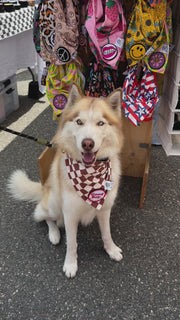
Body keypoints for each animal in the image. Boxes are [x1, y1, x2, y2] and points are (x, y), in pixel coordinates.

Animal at [8, 84, 124, 278]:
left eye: (101, 123)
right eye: (79, 122)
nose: (87, 143)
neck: (90, 173)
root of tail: (44, 189)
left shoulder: (104, 208)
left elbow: (106, 233)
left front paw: (111, 250)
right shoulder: (70, 213)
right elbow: (72, 243)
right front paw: (70, 264)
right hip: (54, 205)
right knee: (46, 217)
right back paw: (54, 234)